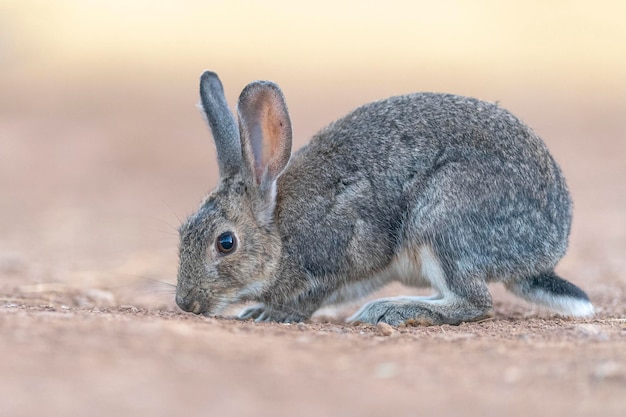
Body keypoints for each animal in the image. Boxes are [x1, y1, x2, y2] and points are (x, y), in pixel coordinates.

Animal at [174, 70, 588, 324]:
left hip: (443, 220)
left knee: (475, 303)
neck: (278, 230)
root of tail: (543, 253)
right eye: (182, 234)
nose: (186, 303)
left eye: (226, 243)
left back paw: (388, 311)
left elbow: (312, 297)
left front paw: (270, 314)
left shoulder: (345, 250)